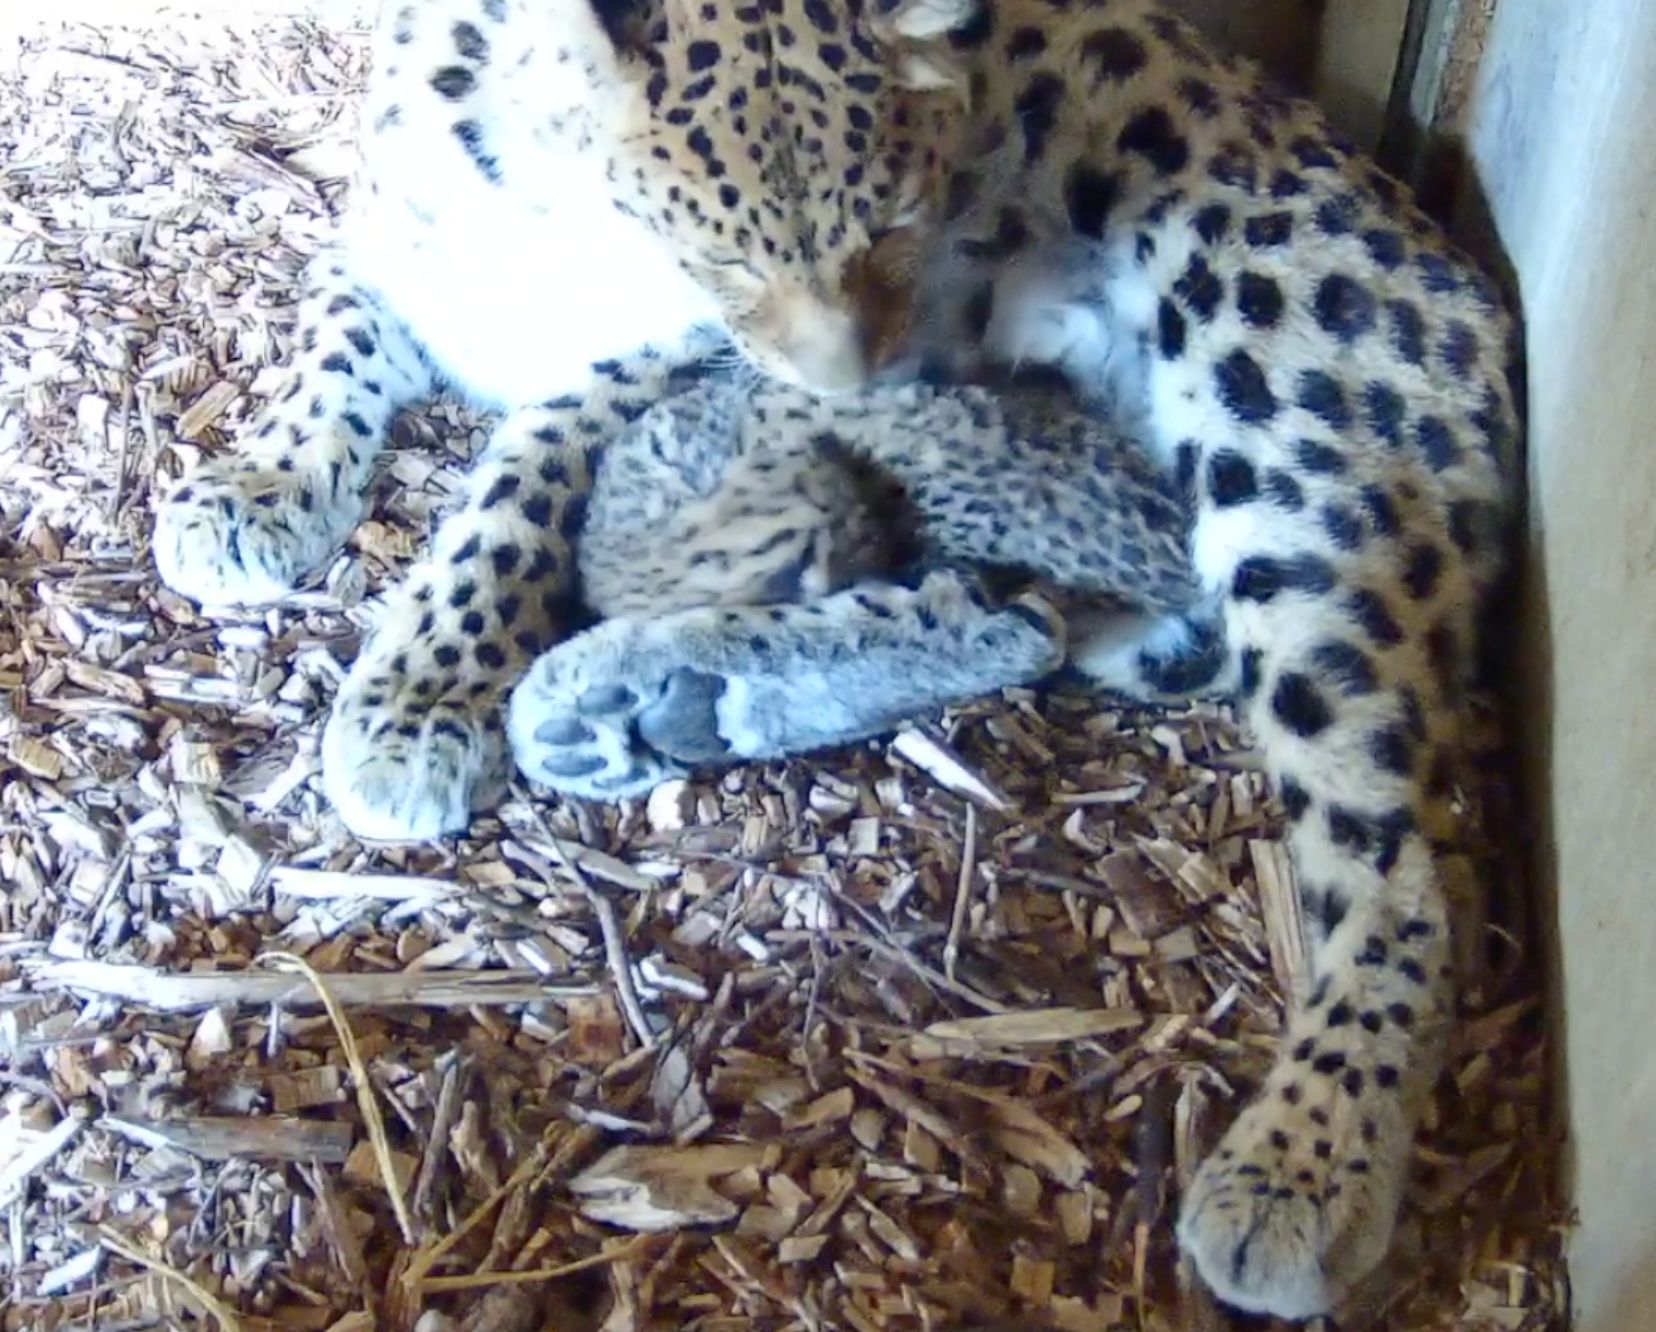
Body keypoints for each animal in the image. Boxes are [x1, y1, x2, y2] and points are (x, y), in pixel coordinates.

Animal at [147, 0, 1523, 1319]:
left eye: (899, 223)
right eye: (726, 253)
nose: (857, 370)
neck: (535, 185)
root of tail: (1474, 294)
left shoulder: (650, 363)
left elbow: (517, 485)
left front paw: (420, 691)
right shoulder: (387, 249)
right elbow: (329, 344)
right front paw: (257, 490)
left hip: (1289, 446)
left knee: (1410, 867)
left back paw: (1302, 1169)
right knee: (1018, 622)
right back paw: (658, 697)